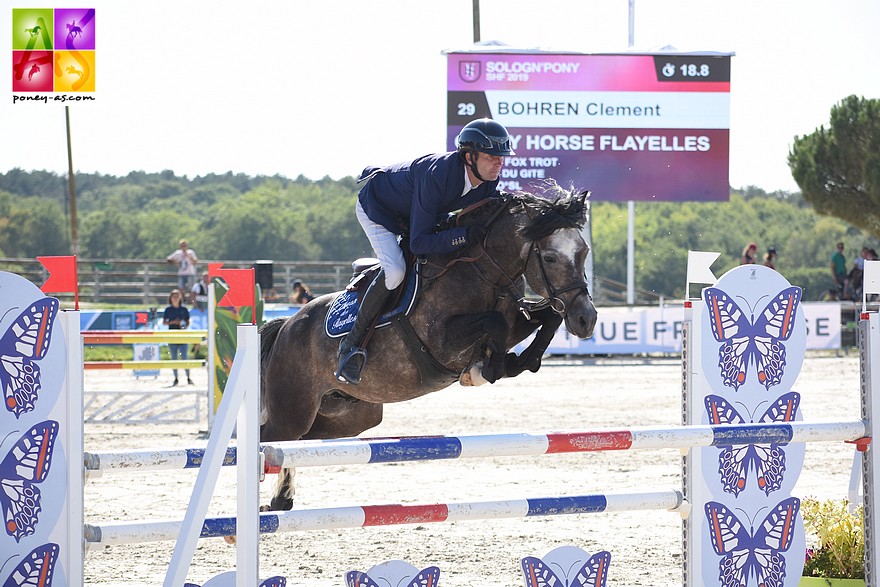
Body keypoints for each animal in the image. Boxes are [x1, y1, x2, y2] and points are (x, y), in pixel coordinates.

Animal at [258, 185, 596, 510]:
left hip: (348, 416)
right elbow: (495, 323)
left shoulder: (517, 320)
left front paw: (522, 361)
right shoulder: (441, 342)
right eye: (550, 257)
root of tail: (286, 326)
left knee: (298, 444)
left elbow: (548, 317)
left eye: (583, 252)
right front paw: (491, 367)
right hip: (293, 411)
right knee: (270, 440)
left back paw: (282, 498)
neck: (483, 272)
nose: (586, 320)